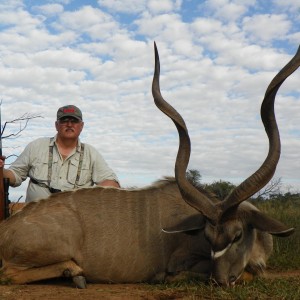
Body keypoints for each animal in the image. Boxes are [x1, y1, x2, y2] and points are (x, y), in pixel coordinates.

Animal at [0, 43, 296, 288]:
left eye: (237, 235)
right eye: (208, 237)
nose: (220, 281)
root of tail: (6, 230)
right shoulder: (179, 265)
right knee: (9, 273)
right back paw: (74, 272)